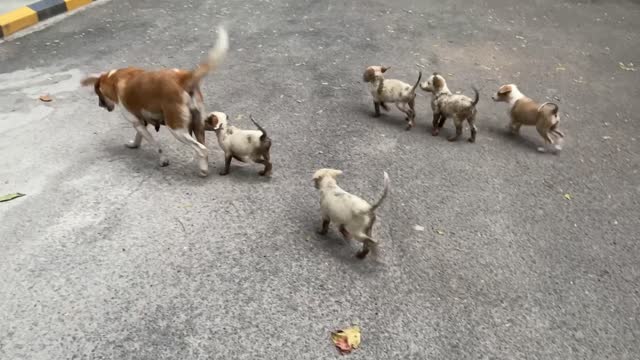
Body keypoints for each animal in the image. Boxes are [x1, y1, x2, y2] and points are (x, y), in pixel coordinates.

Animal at [79, 26, 229, 176]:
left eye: (98, 94)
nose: (100, 105)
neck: (113, 79)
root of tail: (182, 78)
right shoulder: (141, 122)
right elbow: (138, 136)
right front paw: (134, 145)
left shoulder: (137, 122)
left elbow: (156, 145)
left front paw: (163, 160)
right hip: (198, 125)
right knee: (203, 146)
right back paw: (204, 167)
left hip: (177, 129)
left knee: (201, 149)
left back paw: (203, 170)